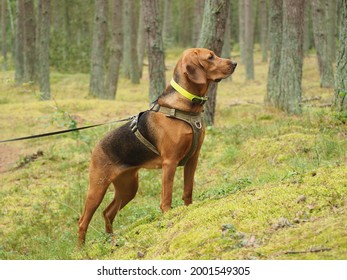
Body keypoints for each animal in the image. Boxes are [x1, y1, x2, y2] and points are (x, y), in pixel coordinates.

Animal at [78, 48, 237, 245]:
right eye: (210, 57)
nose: (235, 63)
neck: (187, 106)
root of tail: (97, 145)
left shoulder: (193, 158)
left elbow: (188, 191)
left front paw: (189, 210)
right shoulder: (170, 162)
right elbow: (166, 197)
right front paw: (169, 216)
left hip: (128, 187)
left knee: (108, 212)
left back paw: (112, 241)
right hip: (97, 188)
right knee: (83, 221)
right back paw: (81, 248)